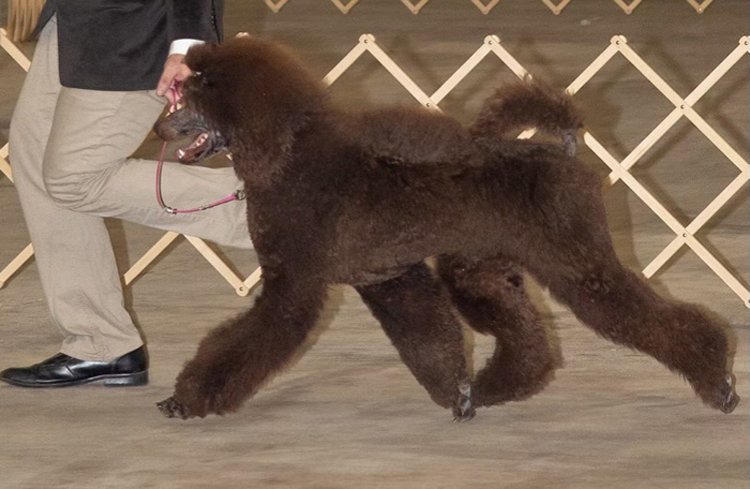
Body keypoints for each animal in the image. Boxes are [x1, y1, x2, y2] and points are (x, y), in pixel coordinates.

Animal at [153, 36, 739, 421]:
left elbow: (246, 341)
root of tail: (565, 153)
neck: (289, 155)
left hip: (575, 262)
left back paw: (719, 381)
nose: (158, 126)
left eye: (198, 90)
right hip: (480, 267)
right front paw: (457, 394)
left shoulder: (293, 283)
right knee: (527, 341)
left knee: (647, 316)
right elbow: (426, 337)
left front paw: (187, 398)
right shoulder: (389, 277)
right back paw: (491, 389)